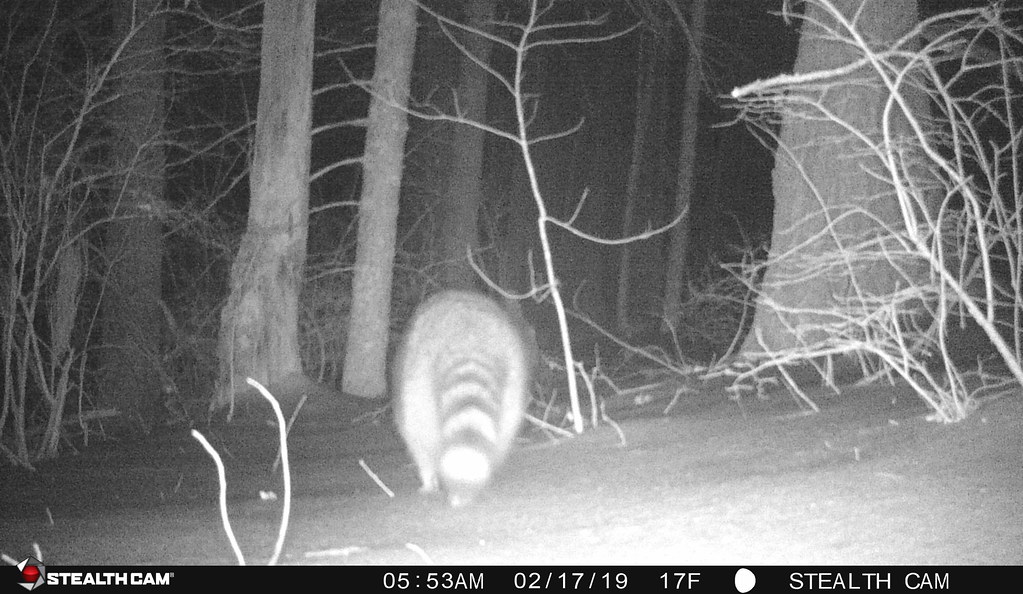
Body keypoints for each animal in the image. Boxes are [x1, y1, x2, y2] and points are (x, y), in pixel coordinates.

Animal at [393, 290, 531, 507]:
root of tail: (468, 333)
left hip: (415, 389)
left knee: (420, 441)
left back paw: (428, 480)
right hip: (514, 384)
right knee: (503, 432)